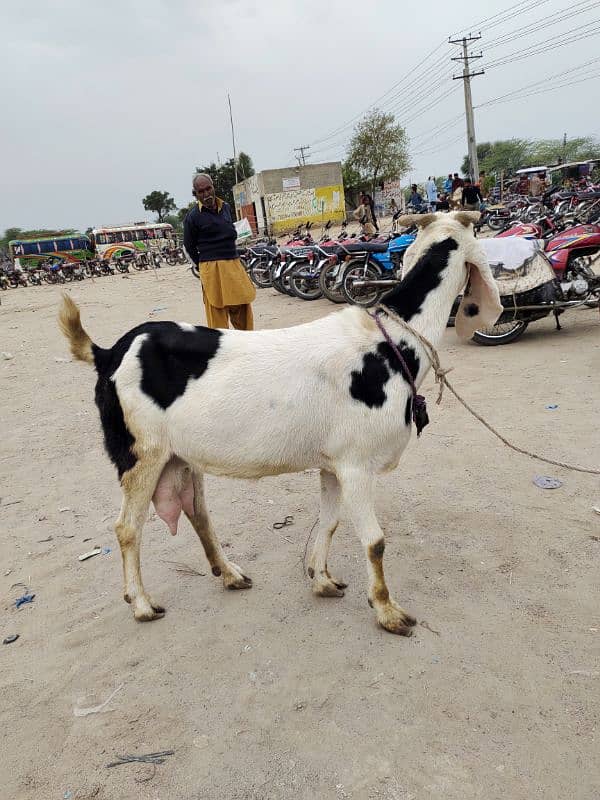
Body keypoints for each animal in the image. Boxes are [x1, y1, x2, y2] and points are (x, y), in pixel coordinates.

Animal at [59, 209, 502, 636]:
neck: (390, 342)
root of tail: (108, 353)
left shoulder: (333, 464)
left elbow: (329, 522)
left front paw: (321, 579)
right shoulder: (357, 464)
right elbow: (374, 541)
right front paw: (387, 611)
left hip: (179, 455)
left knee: (198, 513)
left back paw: (230, 574)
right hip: (142, 454)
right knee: (127, 528)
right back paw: (142, 604)